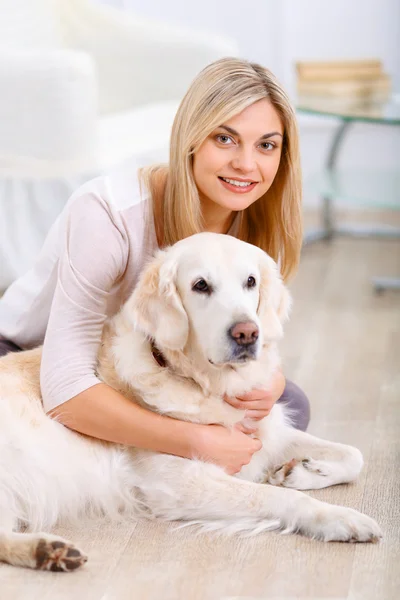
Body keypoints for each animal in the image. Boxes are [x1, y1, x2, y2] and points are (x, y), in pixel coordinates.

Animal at [0, 231, 382, 572]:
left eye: (250, 281)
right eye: (201, 285)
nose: (247, 333)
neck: (205, 384)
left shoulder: (266, 432)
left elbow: (354, 455)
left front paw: (301, 471)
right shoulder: (179, 483)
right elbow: (277, 497)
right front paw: (340, 518)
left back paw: (47, 551)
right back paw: (46, 551)